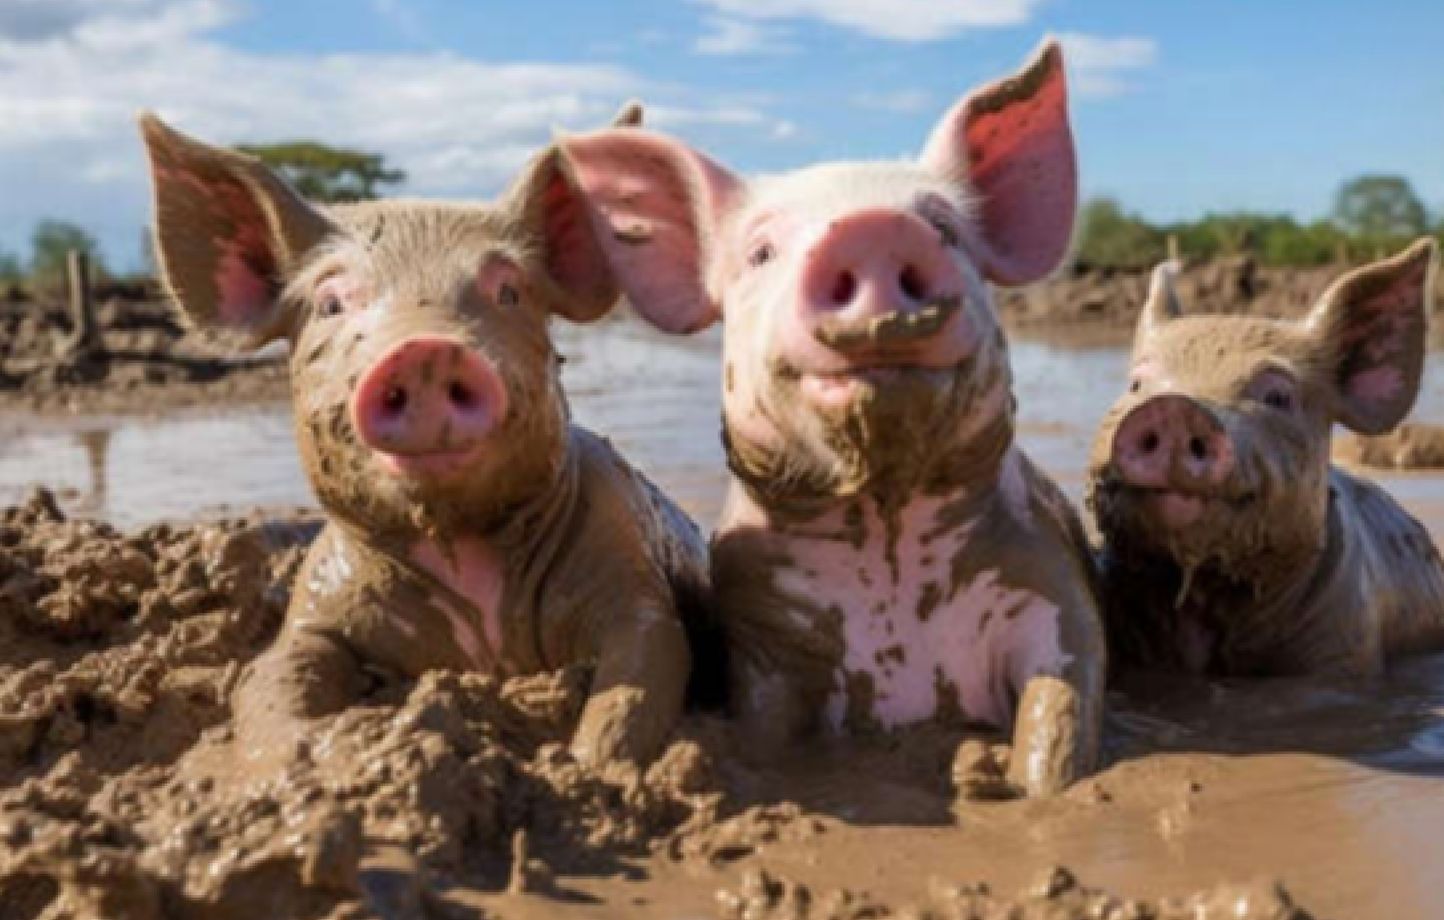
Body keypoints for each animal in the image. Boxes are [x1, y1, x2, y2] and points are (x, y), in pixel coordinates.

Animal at [137, 107, 713, 762]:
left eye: (509, 291)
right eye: (330, 304)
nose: (426, 351)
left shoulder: (627, 563)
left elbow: (643, 662)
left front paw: (583, 765)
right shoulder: (318, 597)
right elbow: (270, 677)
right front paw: (321, 754)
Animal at [557, 39, 1097, 791]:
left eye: (946, 229)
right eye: (760, 252)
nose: (872, 230)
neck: (886, 527)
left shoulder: (1049, 588)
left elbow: (1062, 706)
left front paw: (1019, 784)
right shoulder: (763, 633)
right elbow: (763, 729)